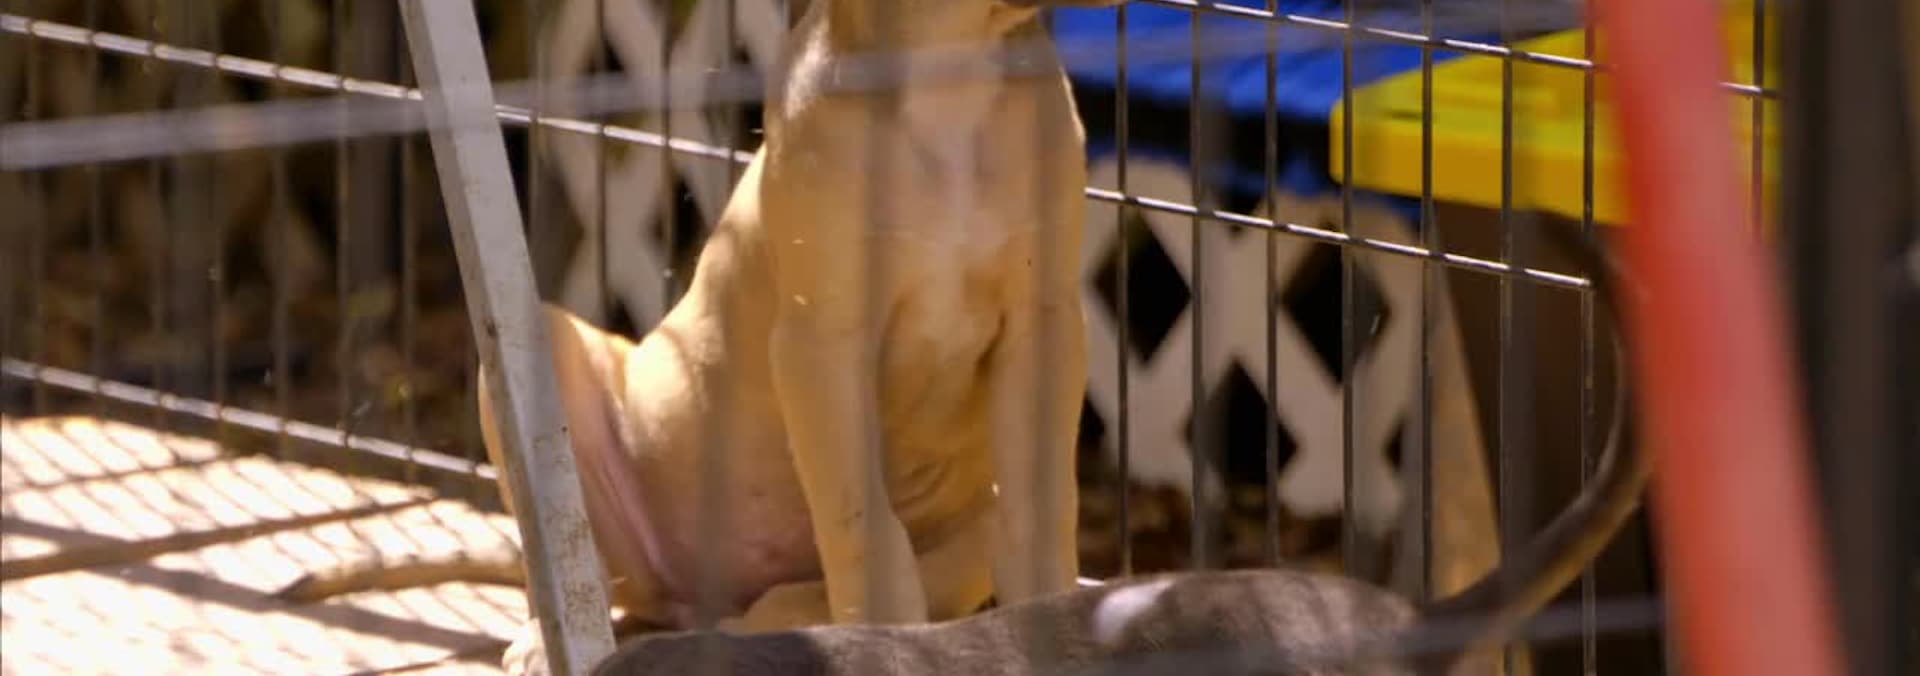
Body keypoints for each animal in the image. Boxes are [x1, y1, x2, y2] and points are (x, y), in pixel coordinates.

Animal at [276, 0, 1123, 671]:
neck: (949, 70)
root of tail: (697, 595)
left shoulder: (1047, 327)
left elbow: (1042, 512)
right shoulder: (822, 342)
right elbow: (868, 534)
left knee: (767, 612)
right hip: (542, 363)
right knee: (584, 565)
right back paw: (551, 638)